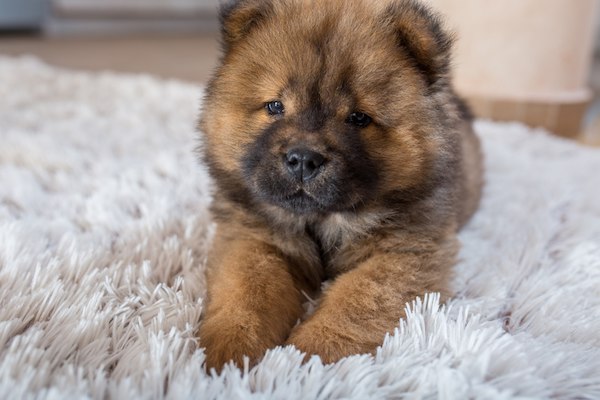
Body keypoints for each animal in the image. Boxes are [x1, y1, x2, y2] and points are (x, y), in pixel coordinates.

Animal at [197, 0, 482, 370]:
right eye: (275, 106)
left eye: (358, 118)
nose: (303, 158)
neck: (323, 220)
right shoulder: (250, 236)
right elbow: (247, 291)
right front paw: (230, 354)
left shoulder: (404, 252)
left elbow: (356, 301)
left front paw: (307, 357)